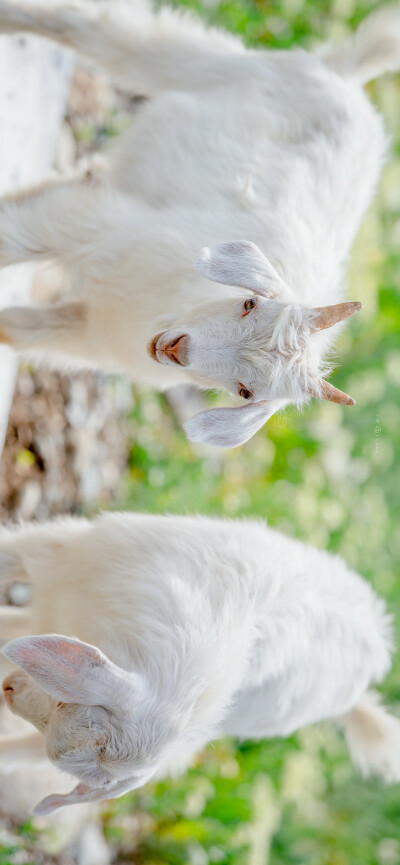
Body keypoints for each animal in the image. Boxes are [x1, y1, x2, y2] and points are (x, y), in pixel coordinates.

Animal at [0, 1, 398, 446]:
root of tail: (347, 76)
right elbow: (13, 238)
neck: (166, 305)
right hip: (199, 64)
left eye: (246, 392)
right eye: (249, 303)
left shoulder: (93, 333)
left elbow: (13, 328)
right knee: (94, 28)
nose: (176, 349)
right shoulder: (95, 228)